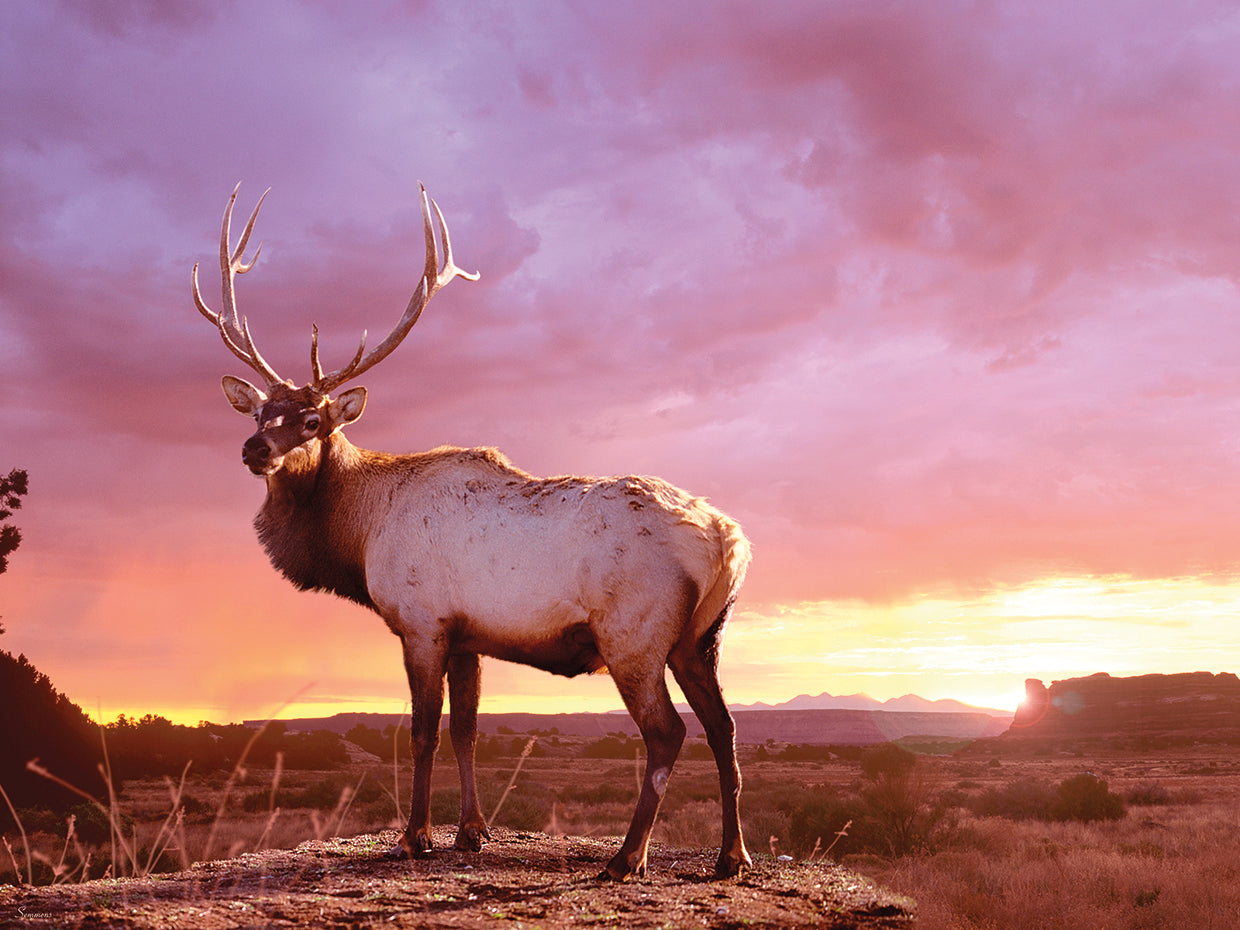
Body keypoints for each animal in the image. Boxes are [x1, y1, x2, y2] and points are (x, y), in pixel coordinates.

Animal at [192, 183, 753, 881]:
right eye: (262, 411)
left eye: (313, 419)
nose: (254, 448)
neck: (359, 535)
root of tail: (727, 541)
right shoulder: (469, 636)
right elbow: (467, 730)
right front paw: (470, 831)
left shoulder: (421, 621)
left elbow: (422, 731)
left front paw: (413, 837)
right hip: (700, 637)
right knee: (725, 727)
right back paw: (731, 854)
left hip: (634, 635)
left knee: (668, 732)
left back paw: (628, 856)